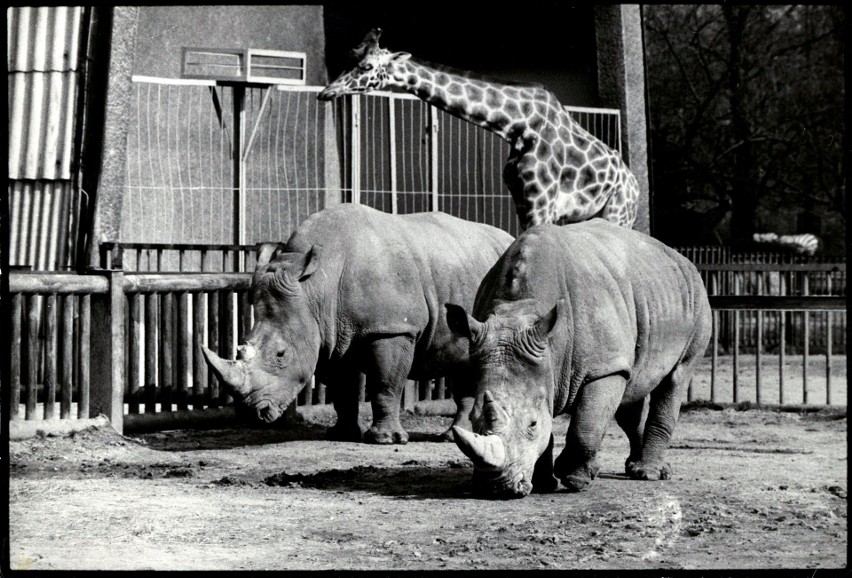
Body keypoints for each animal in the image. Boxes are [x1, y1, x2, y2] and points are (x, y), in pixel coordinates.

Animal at [320, 27, 640, 230]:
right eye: (349, 57)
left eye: (367, 67)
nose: (325, 92)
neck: (517, 126)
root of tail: (635, 184)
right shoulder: (523, 203)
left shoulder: (541, 203)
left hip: (617, 213)